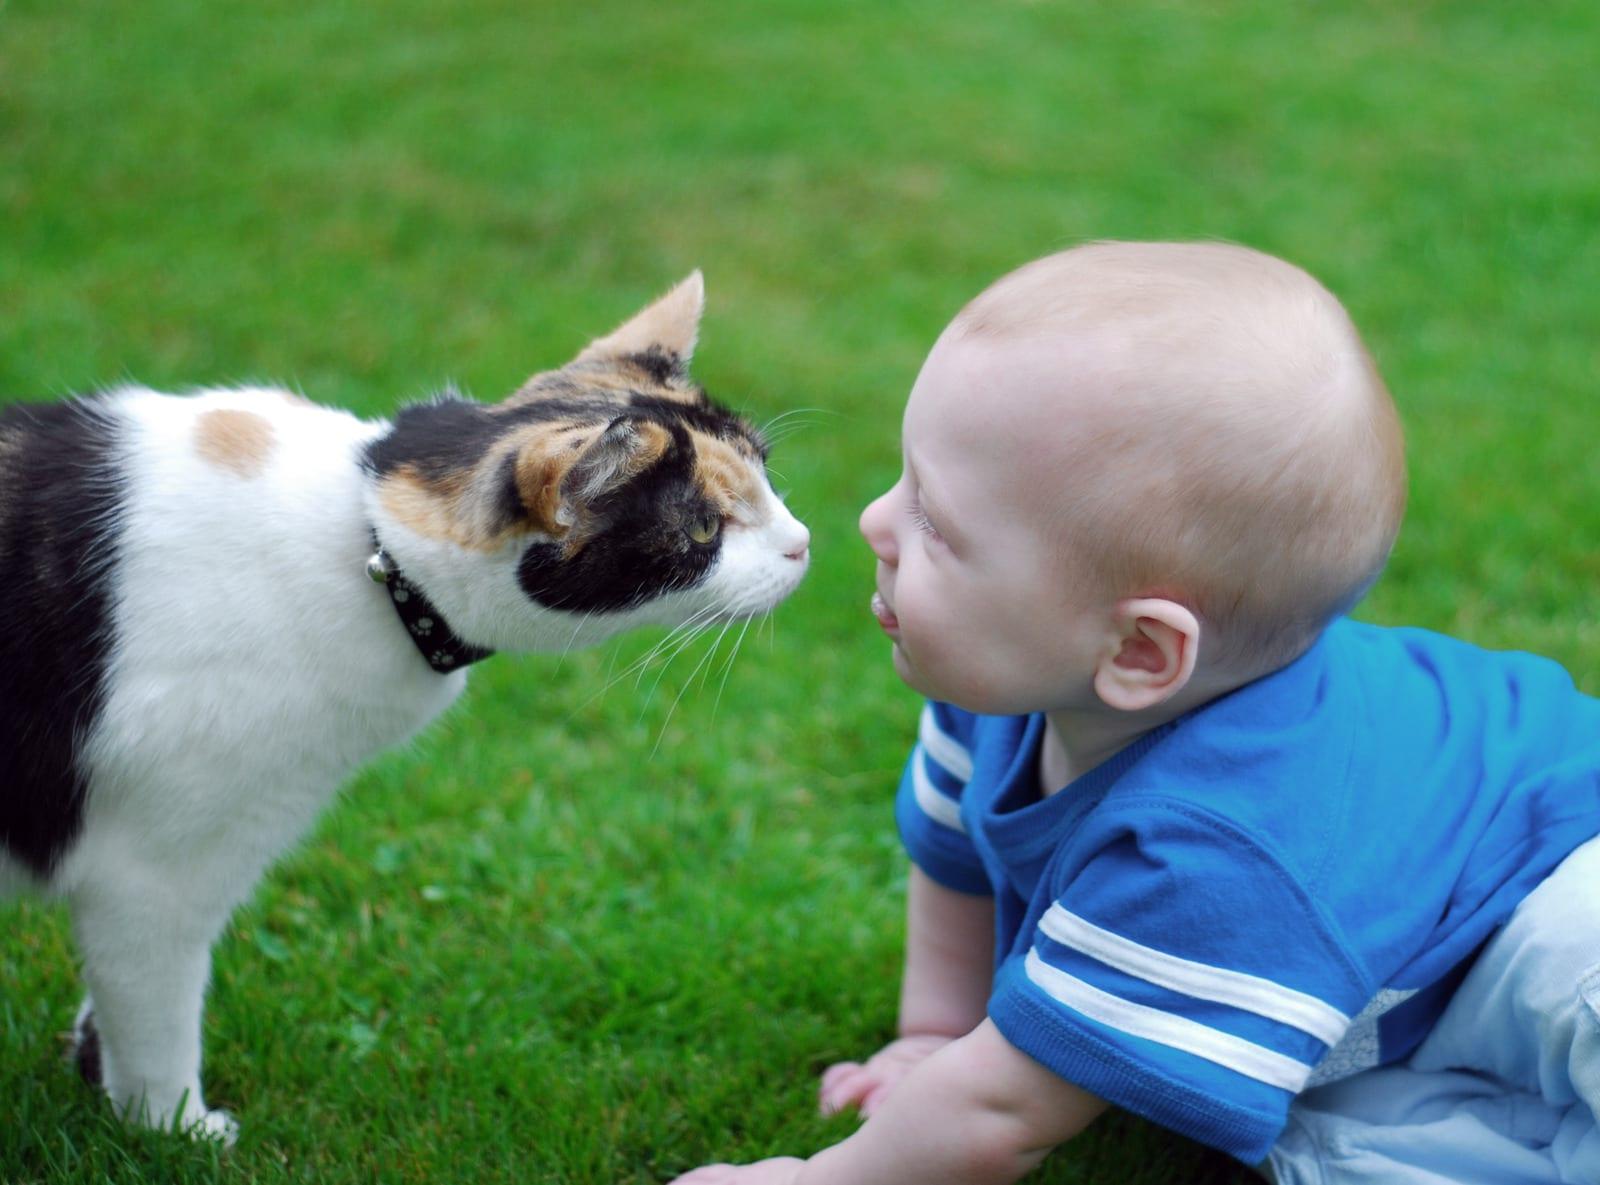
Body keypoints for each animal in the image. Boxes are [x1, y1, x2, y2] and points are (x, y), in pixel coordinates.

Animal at [0, 273, 806, 1138]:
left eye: (766, 475)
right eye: (704, 528)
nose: (804, 543)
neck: (370, 539)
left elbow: (114, 1005)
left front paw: (95, 1069)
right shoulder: (150, 875)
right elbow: (156, 1014)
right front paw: (172, 1128)